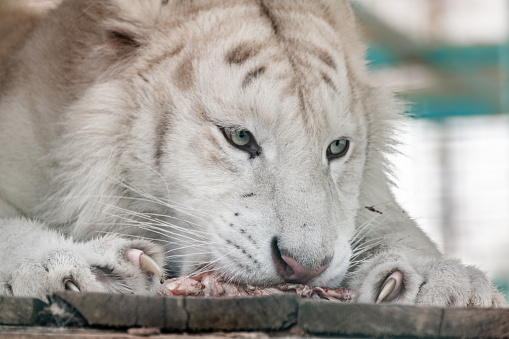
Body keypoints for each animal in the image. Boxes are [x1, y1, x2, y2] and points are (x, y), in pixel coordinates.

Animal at [0, 0, 502, 308]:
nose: (305, 266)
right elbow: (11, 227)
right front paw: (86, 269)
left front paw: (447, 285)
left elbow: (394, 228)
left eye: (337, 147)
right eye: (240, 137)